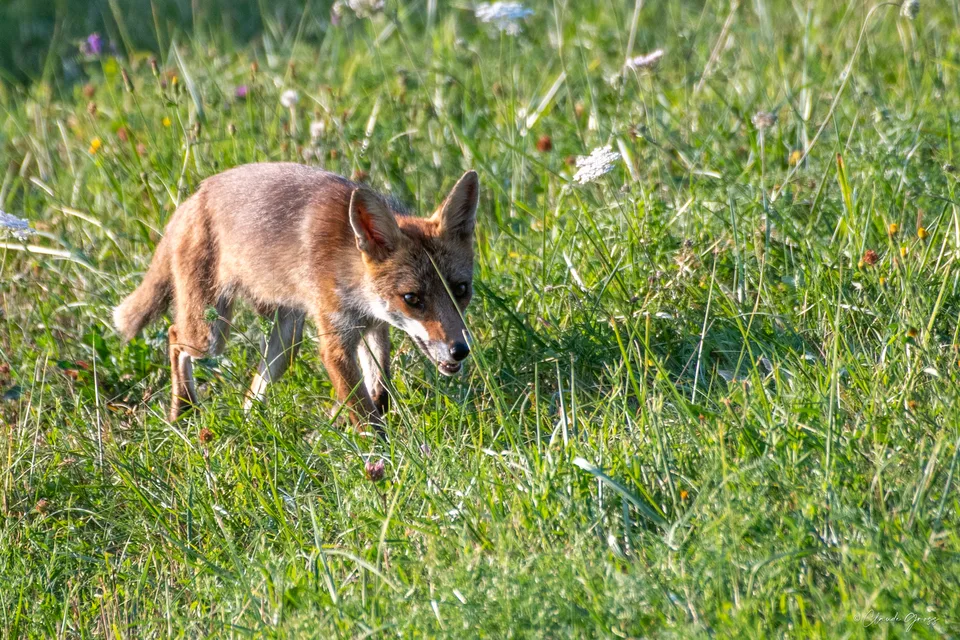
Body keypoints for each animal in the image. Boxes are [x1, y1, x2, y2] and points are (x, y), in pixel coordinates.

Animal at [113, 162, 479, 428]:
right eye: (413, 299)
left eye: (461, 290)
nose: (459, 350)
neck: (349, 267)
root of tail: (193, 196)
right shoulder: (335, 344)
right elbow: (364, 413)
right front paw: (383, 456)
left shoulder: (373, 328)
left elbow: (379, 390)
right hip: (210, 334)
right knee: (174, 337)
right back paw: (184, 409)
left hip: (286, 342)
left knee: (252, 390)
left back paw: (251, 425)